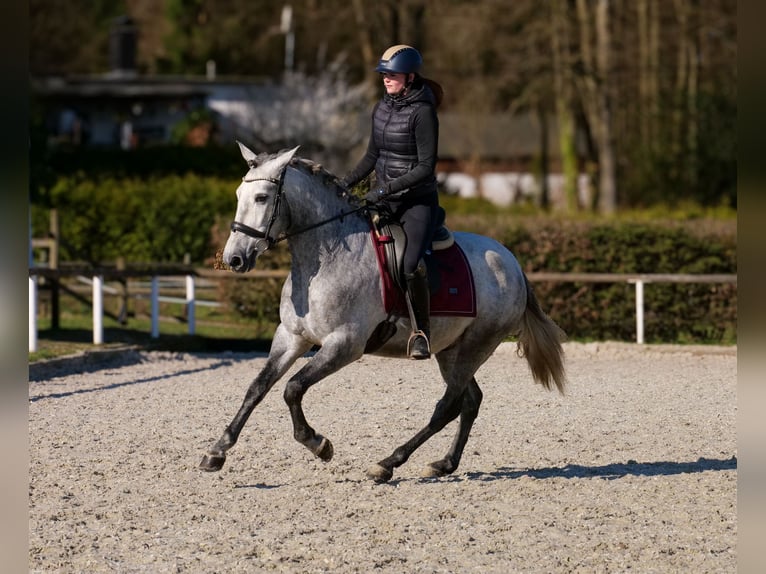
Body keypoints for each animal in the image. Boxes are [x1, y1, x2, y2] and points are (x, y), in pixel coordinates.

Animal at [200, 143, 566, 482]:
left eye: (262, 197)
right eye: (239, 194)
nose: (234, 259)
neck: (326, 257)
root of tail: (512, 263)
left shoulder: (344, 344)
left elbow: (293, 388)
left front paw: (319, 444)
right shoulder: (292, 336)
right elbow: (257, 388)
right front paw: (217, 451)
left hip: (477, 345)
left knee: (447, 405)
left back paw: (388, 463)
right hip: (451, 350)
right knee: (469, 400)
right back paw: (444, 464)